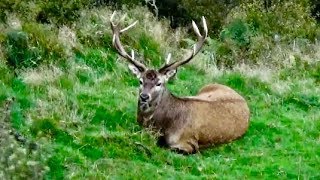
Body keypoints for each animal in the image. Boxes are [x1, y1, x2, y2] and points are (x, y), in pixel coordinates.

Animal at [110, 11, 250, 154]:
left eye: (159, 83)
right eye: (140, 81)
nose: (144, 96)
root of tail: (242, 98)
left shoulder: (189, 143)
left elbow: (167, 147)